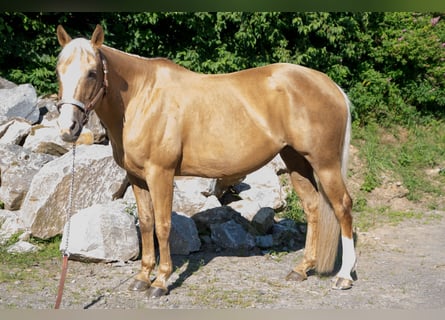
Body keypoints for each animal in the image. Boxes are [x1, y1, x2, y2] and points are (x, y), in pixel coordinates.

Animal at [55, 24, 356, 298]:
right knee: (313, 207)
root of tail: (331, 86)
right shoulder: (137, 178)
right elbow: (147, 223)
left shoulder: (160, 174)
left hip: (324, 163)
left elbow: (163, 226)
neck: (142, 98)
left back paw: (343, 277)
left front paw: (160, 282)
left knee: (342, 207)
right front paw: (142, 277)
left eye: (92, 73)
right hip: (295, 160)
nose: (68, 128)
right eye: (59, 71)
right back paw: (302, 269)